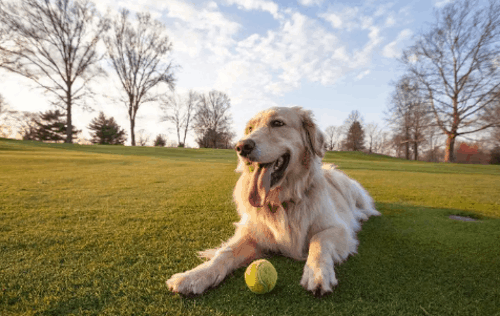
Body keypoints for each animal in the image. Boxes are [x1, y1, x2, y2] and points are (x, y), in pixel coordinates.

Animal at [166, 107, 380, 296]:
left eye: (277, 123)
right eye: (250, 128)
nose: (241, 147)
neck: (282, 199)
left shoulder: (337, 228)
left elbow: (318, 241)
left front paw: (317, 273)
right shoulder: (252, 233)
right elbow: (224, 253)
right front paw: (195, 275)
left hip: (349, 188)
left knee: (365, 208)